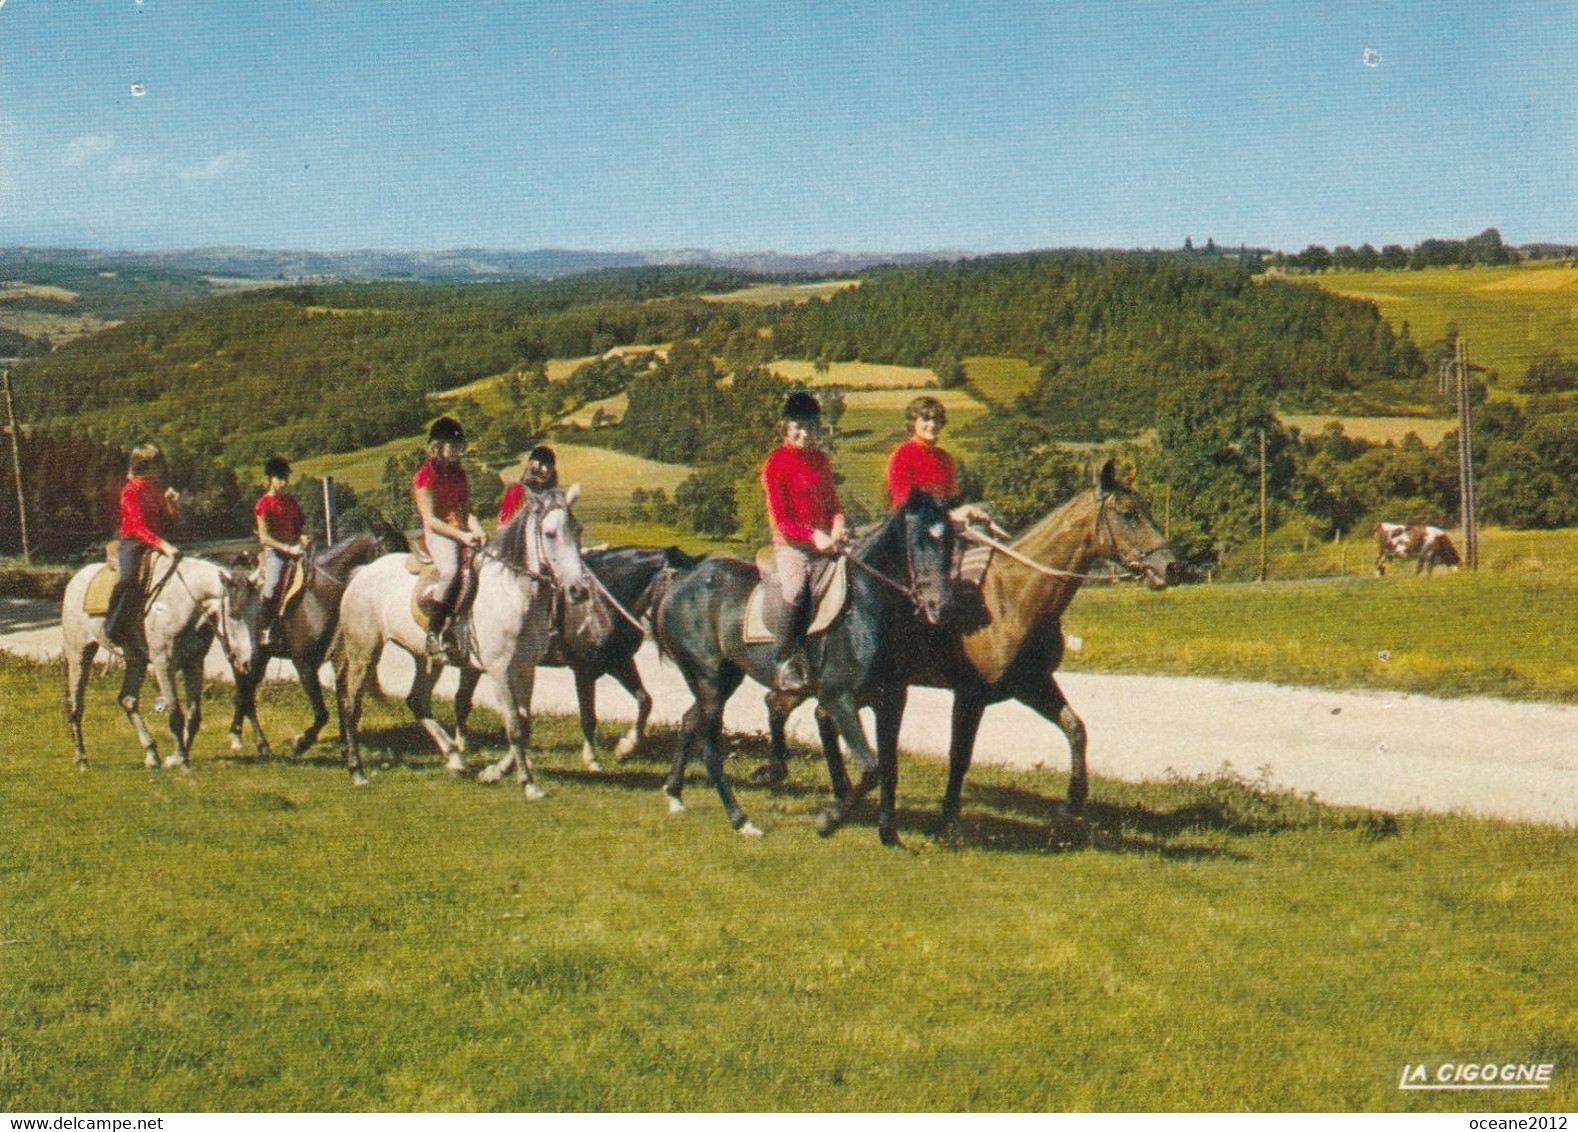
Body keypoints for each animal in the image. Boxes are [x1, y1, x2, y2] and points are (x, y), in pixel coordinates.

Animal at [63, 552, 261, 773]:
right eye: (233, 614)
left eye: (258, 613)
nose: (249, 662)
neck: (181, 605)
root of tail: (77, 578)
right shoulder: (163, 665)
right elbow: (175, 715)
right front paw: (182, 761)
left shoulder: (194, 664)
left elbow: (194, 716)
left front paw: (175, 758)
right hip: (79, 652)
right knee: (76, 705)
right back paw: (82, 759)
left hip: (136, 660)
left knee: (128, 699)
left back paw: (151, 754)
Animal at [230, 524, 413, 760]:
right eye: (390, 550)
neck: (320, 596)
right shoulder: (304, 665)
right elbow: (322, 713)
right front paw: (300, 743)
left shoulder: (341, 662)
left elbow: (344, 703)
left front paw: (347, 749)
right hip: (242, 655)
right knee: (244, 693)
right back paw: (249, 741)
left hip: (261, 657)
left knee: (245, 693)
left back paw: (247, 740)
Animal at [332, 479, 596, 789]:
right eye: (550, 533)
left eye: (578, 529)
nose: (579, 590)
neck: (513, 592)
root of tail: (361, 573)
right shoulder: (499, 670)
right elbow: (514, 725)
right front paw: (528, 783)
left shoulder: (525, 667)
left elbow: (525, 722)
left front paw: (497, 770)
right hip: (364, 652)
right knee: (351, 705)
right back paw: (357, 770)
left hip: (425, 657)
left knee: (417, 701)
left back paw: (455, 759)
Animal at [779, 454, 1186, 846]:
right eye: (1129, 513)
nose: (1171, 566)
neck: (1012, 596)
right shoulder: (971, 695)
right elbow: (960, 756)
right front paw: (948, 821)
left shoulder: (1032, 684)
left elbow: (1075, 729)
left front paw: (1072, 807)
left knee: (820, 716)